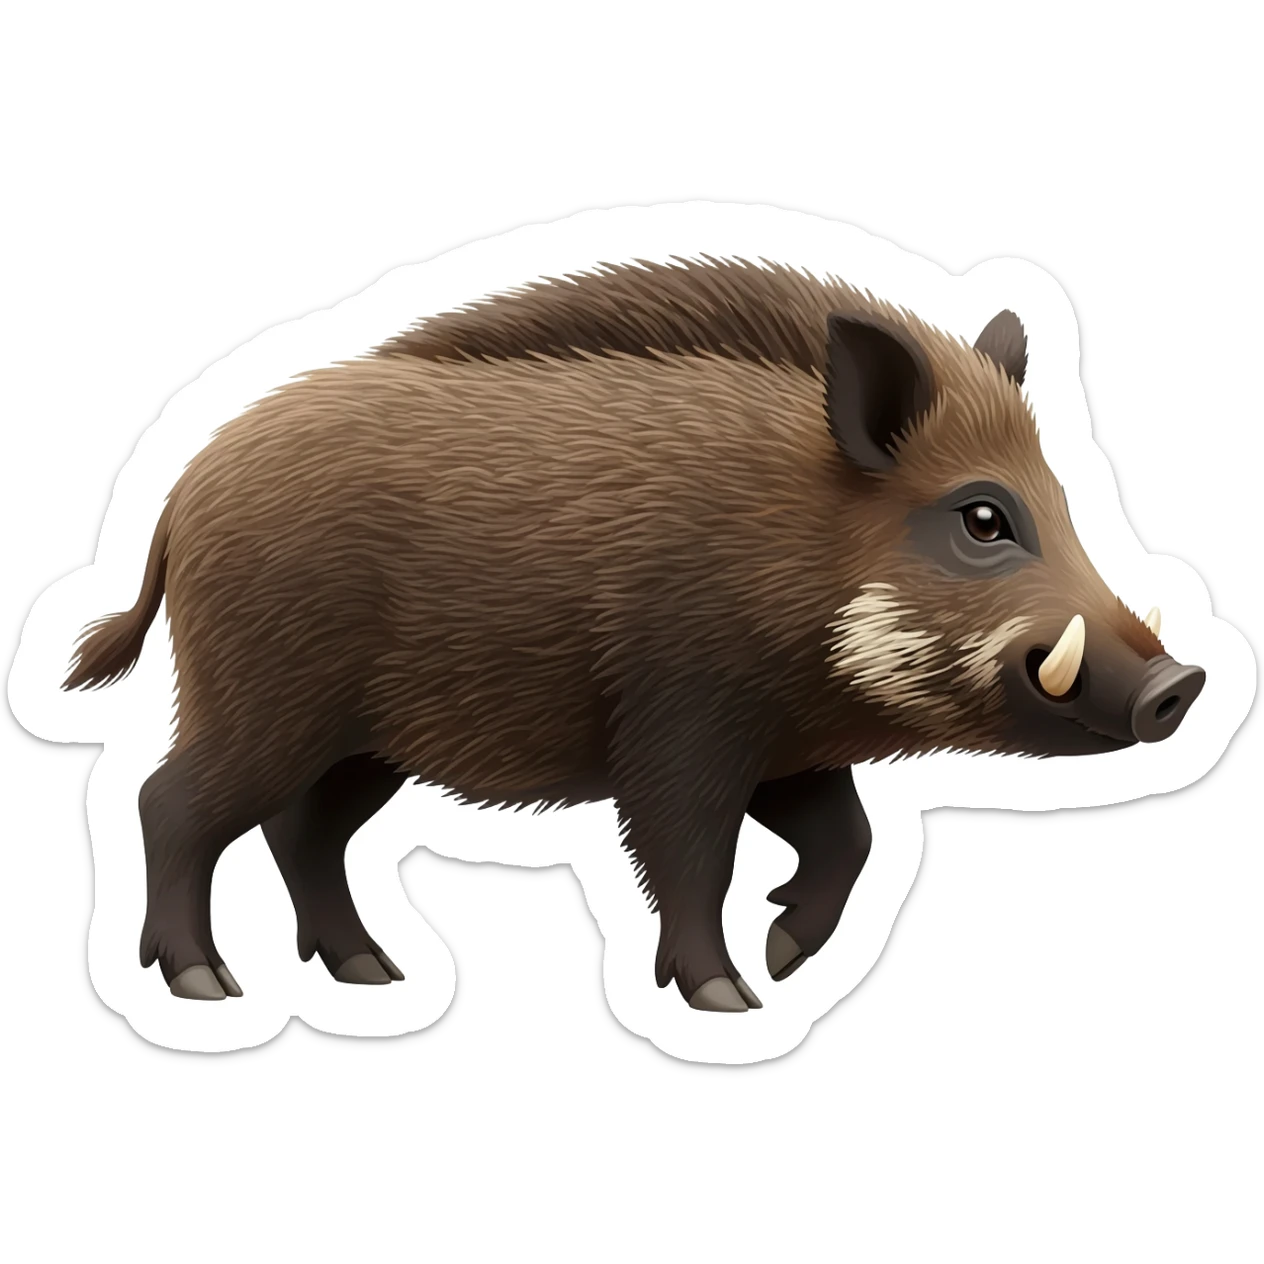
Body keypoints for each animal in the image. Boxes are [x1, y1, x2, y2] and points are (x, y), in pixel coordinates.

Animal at [63, 255, 1206, 1012]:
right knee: (169, 803)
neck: (803, 555)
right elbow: (689, 854)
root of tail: (180, 495)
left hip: (362, 740)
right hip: (262, 697)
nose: (1179, 686)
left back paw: (373, 974)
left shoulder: (788, 748)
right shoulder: (681, 724)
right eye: (983, 517)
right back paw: (206, 985)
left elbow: (850, 840)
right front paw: (728, 997)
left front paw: (785, 957)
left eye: (1061, 500)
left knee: (304, 833)